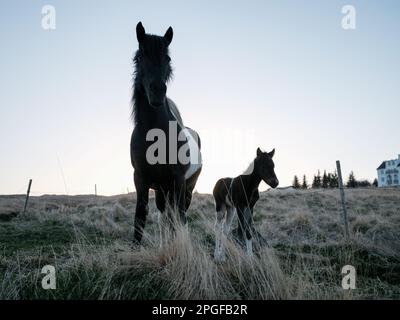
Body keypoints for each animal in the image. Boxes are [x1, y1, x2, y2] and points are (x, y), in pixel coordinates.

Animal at [130, 22, 202, 245]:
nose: (157, 92)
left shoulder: (178, 181)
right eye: (140, 56)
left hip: (186, 188)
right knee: (165, 218)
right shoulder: (141, 180)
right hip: (162, 189)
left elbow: (180, 219)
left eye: (168, 58)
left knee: (177, 217)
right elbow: (140, 217)